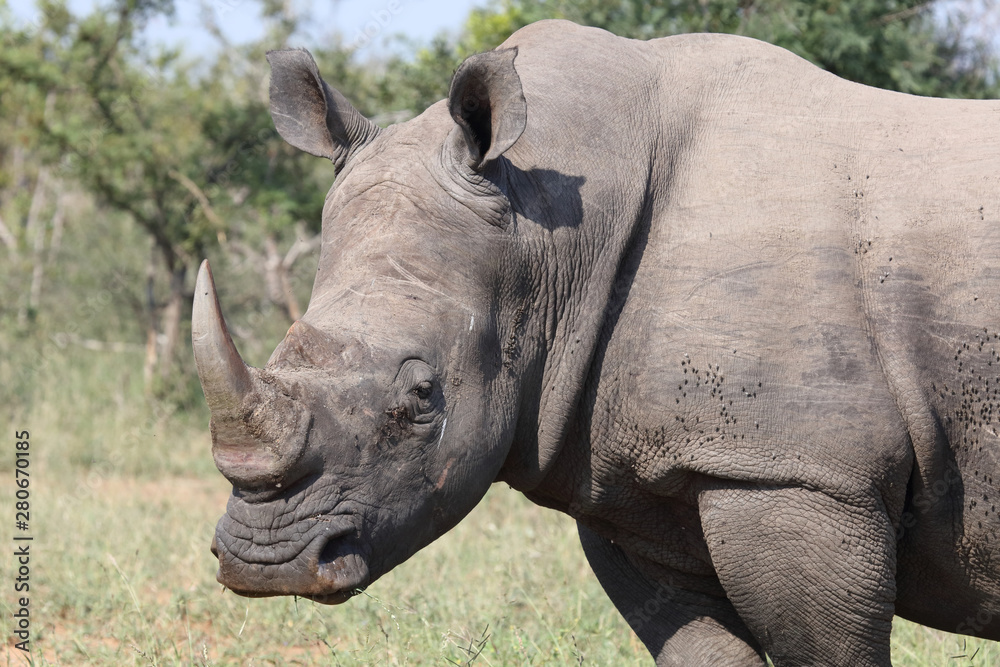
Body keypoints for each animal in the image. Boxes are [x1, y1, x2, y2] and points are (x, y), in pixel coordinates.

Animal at [192, 19, 1000, 666]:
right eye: (284, 347)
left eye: (422, 398)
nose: (266, 561)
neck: (547, 225)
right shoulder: (629, 483)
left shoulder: (798, 472)